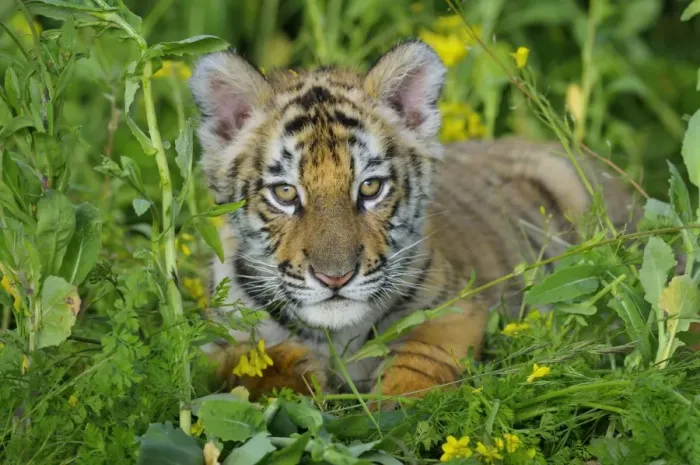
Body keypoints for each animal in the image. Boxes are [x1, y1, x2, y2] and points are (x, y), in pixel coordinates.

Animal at [188, 39, 636, 401]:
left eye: (370, 188)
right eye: (285, 193)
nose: (335, 278)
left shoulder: (456, 308)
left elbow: (421, 359)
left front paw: (396, 413)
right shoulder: (215, 341)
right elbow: (252, 359)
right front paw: (298, 380)